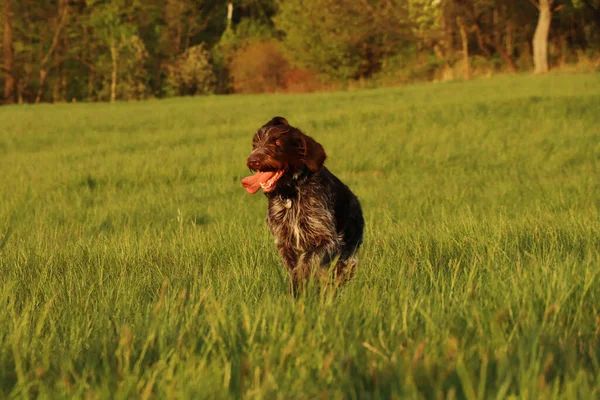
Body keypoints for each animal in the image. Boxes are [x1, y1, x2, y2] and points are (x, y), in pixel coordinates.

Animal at [241, 115, 364, 294]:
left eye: (277, 142)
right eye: (255, 144)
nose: (253, 160)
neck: (290, 194)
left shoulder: (326, 239)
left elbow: (306, 260)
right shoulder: (284, 243)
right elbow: (294, 267)